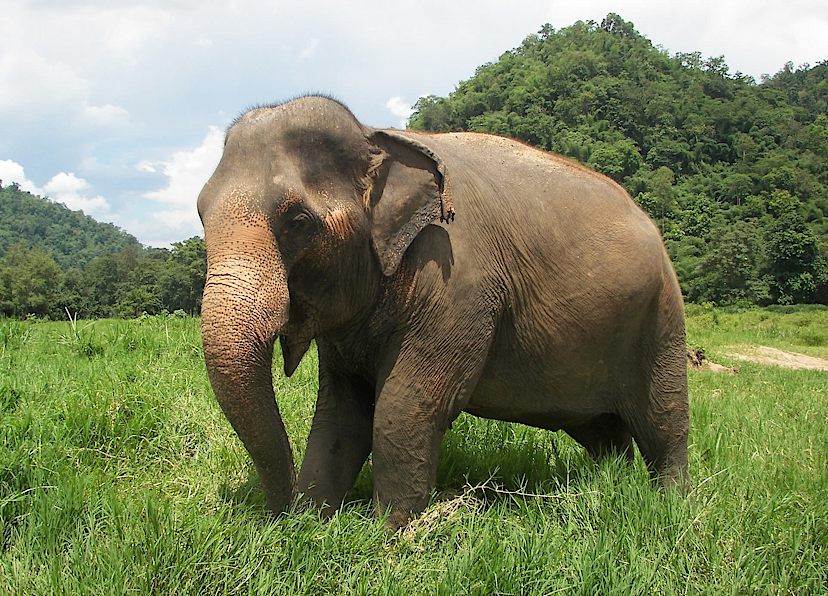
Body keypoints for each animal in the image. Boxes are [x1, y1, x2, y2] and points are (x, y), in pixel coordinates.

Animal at [198, 95, 688, 529]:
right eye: (201, 215)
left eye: (298, 222)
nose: (276, 516)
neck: (375, 135)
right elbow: (342, 413)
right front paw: (312, 523)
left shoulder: (459, 284)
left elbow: (405, 406)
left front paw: (388, 535)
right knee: (604, 432)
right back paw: (610, 484)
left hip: (662, 316)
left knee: (664, 422)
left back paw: (670, 504)